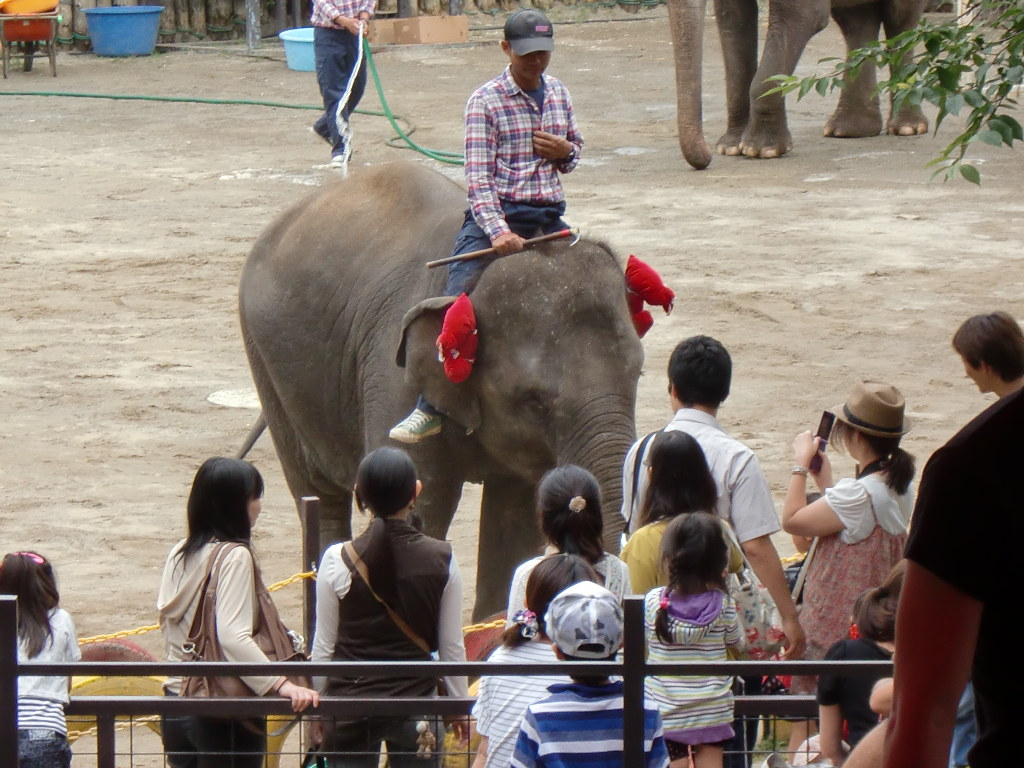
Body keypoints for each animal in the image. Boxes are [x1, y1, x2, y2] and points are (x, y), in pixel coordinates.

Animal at [236, 160, 643, 618]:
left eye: (638, 375)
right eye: (533, 401)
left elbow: (514, 518)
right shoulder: (393, 376)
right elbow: (417, 500)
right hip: (267, 363)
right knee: (317, 496)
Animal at [675, 0, 933, 168]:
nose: (707, 157)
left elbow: (801, 16)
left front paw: (761, 150)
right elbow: (731, 17)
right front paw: (730, 147)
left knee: (900, 17)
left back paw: (907, 128)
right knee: (855, 18)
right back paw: (849, 130)